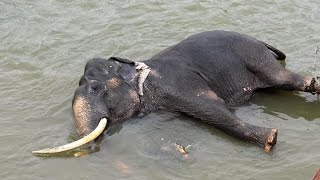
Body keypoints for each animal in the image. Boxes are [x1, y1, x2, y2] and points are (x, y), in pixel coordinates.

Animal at [33, 29, 320, 155]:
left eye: (95, 88)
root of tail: (259, 40)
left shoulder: (175, 85)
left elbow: (212, 108)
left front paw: (271, 139)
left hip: (254, 56)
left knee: (283, 78)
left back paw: (314, 85)